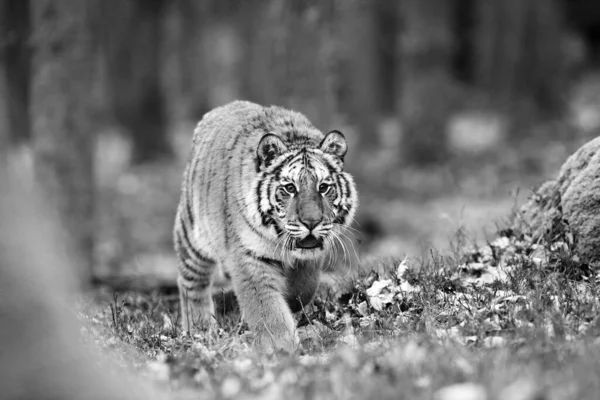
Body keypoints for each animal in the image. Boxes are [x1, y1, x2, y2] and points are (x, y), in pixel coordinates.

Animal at [171, 100, 358, 354]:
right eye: (290, 188)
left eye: (323, 187)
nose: (311, 222)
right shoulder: (249, 257)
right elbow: (266, 307)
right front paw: (280, 345)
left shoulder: (313, 255)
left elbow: (304, 286)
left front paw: (292, 301)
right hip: (192, 236)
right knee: (191, 284)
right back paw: (199, 328)